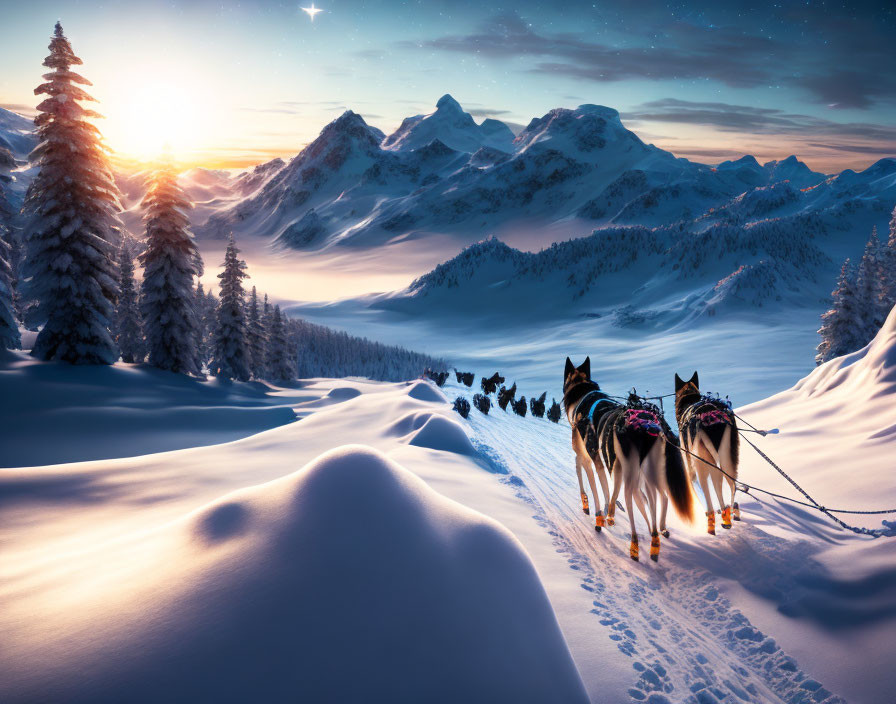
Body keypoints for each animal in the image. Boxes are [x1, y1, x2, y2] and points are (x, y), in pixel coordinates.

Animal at [564, 358, 696, 560]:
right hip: (649, 477)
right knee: (660, 499)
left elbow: (596, 488)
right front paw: (606, 512)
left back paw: (635, 545)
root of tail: (650, 425)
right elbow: (608, 492)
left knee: (637, 507)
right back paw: (656, 535)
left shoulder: (593, 460)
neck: (584, 397)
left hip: (632, 481)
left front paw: (598, 516)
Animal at [676, 374, 740, 532]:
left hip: (703, 464)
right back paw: (730, 513)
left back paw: (713, 521)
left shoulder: (690, 465)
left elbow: (695, 487)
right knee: (731, 486)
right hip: (727, 459)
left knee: (709, 494)